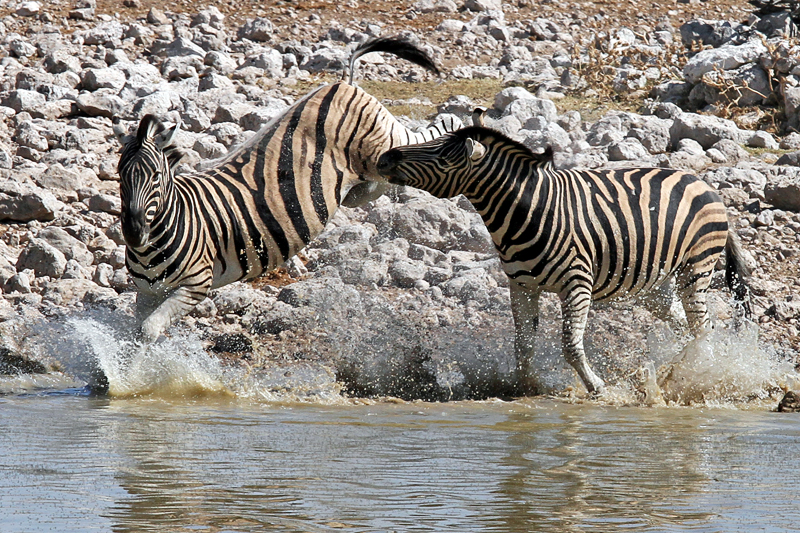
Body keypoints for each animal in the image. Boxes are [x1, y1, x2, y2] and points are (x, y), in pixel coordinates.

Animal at [115, 38, 460, 344]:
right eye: (120, 178)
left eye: (156, 176)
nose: (133, 233)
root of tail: (341, 84)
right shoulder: (147, 293)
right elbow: (138, 331)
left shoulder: (195, 285)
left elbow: (148, 330)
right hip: (364, 185)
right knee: (385, 176)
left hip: (383, 147)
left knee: (424, 136)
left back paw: (463, 129)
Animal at [378, 125, 752, 394]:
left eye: (442, 154)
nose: (383, 158)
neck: (527, 210)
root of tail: (703, 183)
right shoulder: (521, 286)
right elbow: (524, 344)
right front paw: (524, 386)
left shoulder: (577, 284)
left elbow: (570, 345)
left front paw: (596, 386)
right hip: (653, 283)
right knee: (685, 322)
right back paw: (676, 370)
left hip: (696, 267)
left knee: (702, 325)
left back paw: (699, 374)